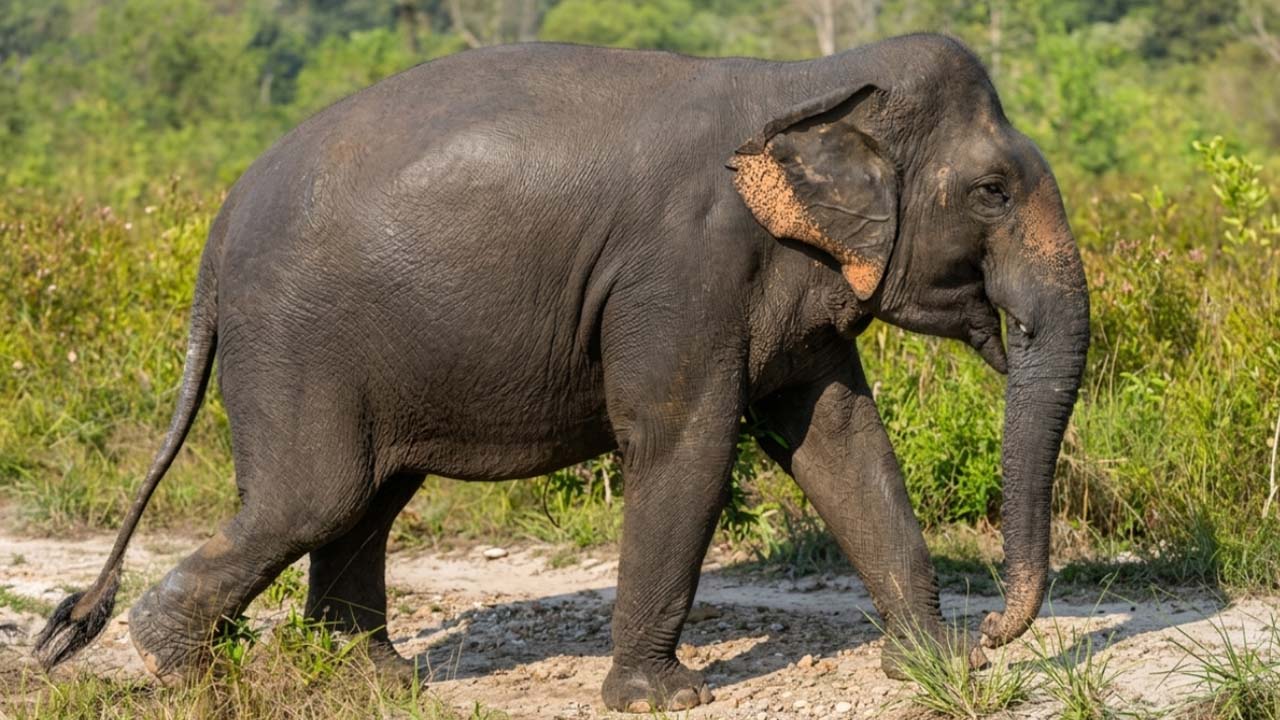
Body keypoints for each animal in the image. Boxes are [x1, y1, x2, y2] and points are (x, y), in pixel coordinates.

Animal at [35, 32, 1089, 712]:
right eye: (992, 192)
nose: (997, 631)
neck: (809, 78)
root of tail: (213, 237)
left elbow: (840, 441)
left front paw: (938, 666)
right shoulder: (683, 268)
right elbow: (687, 440)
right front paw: (664, 699)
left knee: (367, 496)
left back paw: (373, 682)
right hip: (296, 340)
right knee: (314, 495)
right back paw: (192, 675)